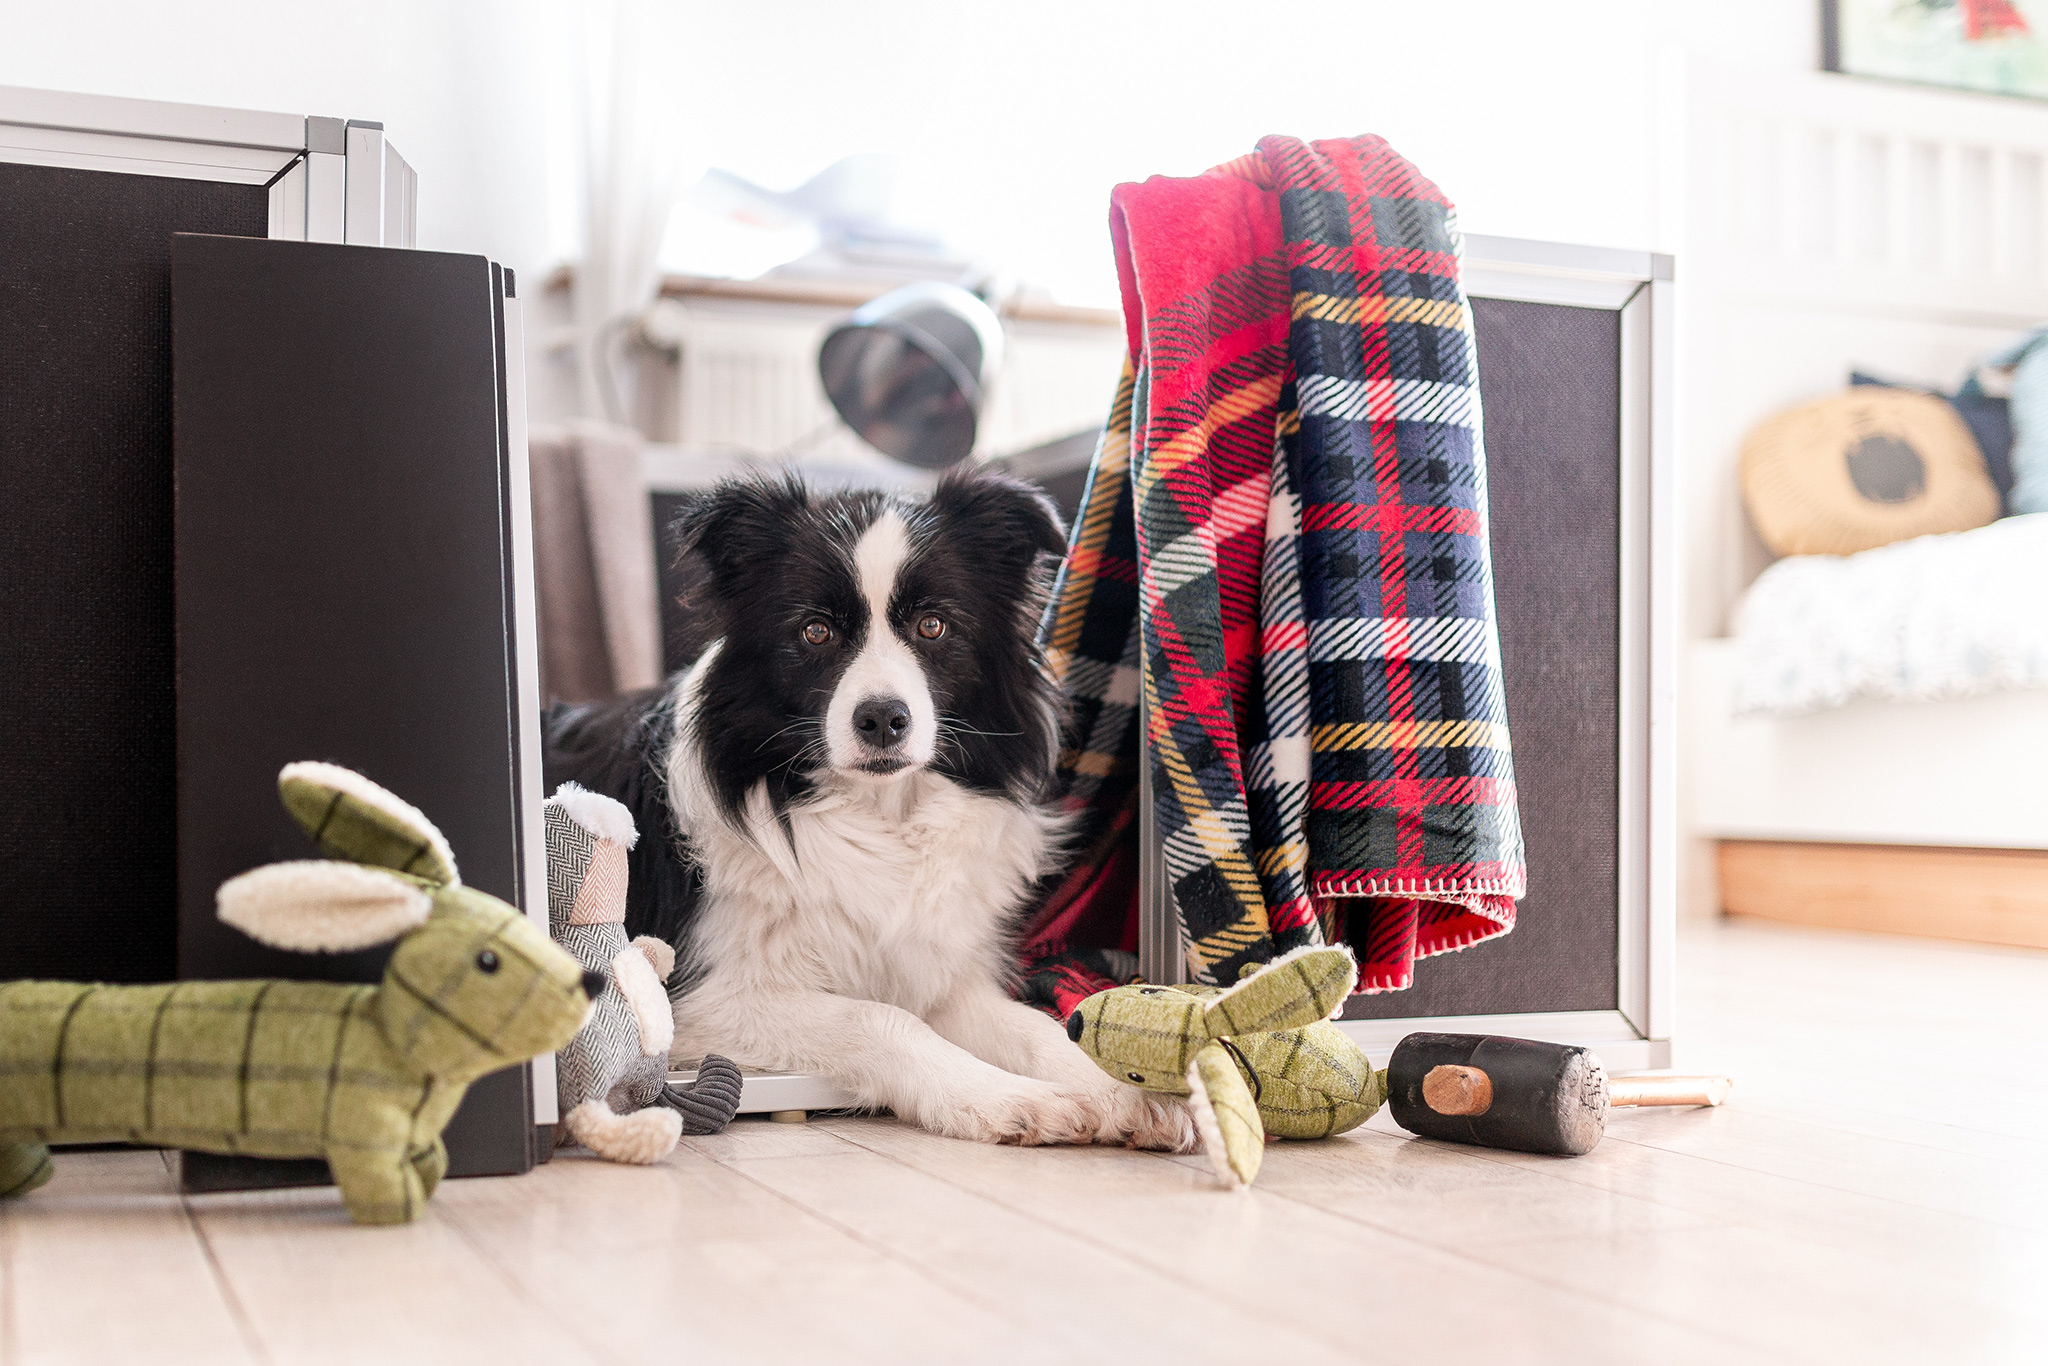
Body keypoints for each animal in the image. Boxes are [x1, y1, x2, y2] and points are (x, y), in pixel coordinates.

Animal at [544, 475, 1196, 1146]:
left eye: (933, 625)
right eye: (815, 632)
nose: (883, 718)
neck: (878, 812)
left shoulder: (935, 975)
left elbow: (1038, 1025)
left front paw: (1123, 1091)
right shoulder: (699, 991)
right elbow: (881, 1020)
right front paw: (1012, 1100)